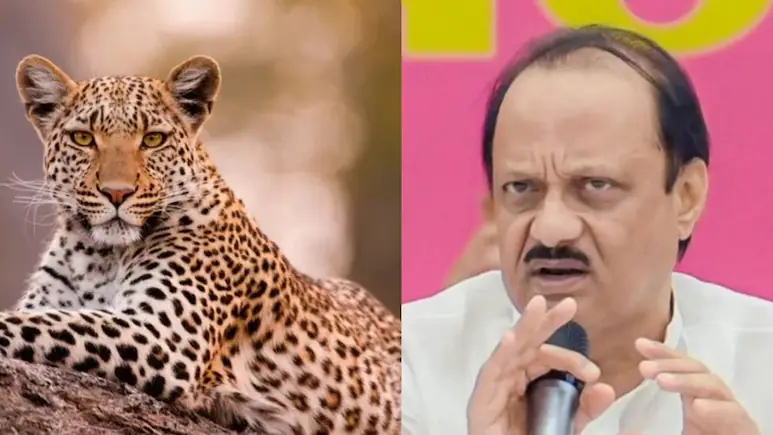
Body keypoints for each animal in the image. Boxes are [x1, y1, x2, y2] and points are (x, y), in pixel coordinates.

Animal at [1, 54, 401, 434]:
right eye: (83, 139)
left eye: (153, 139)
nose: (117, 193)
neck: (99, 256)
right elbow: (42, 315)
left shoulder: (164, 335)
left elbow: (40, 323)